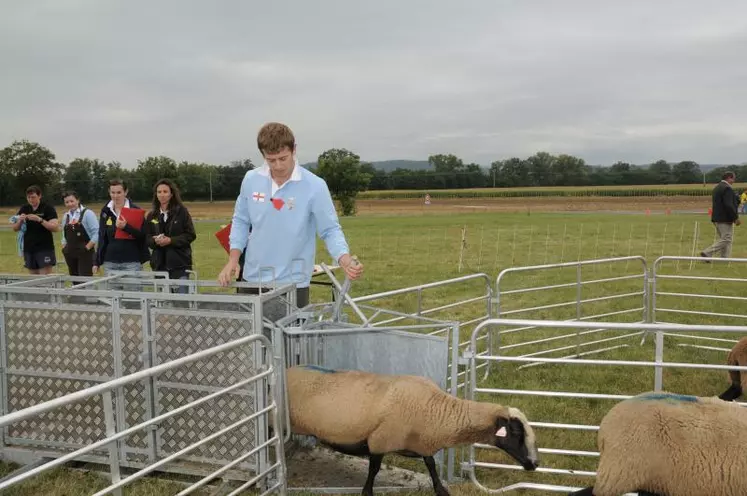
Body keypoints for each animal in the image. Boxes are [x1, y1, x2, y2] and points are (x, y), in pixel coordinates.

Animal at [284, 364, 536, 496]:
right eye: (516, 433)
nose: (535, 464)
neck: (438, 410)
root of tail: (288, 368)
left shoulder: (421, 443)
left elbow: (431, 465)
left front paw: (441, 489)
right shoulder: (380, 440)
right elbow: (374, 469)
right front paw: (367, 491)